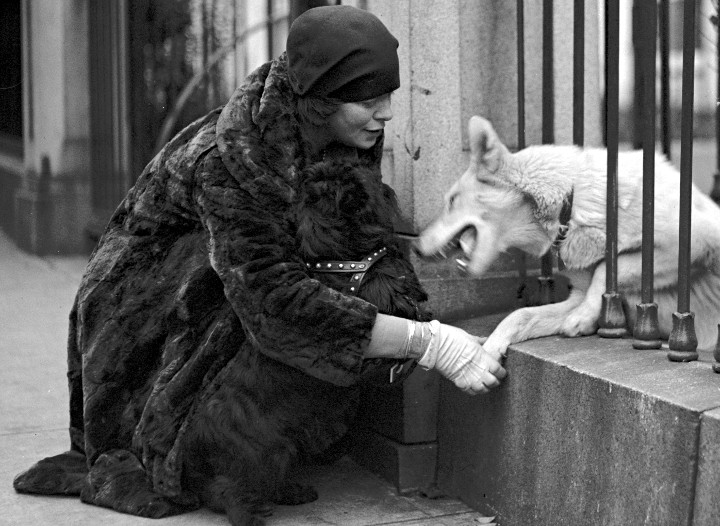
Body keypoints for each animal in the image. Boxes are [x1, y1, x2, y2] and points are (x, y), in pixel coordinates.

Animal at [181, 159, 430, 526]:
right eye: (360, 172)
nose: (376, 166)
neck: (341, 258)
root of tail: (194, 446)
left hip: (281, 450)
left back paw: (292, 492)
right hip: (261, 455)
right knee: (227, 491)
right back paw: (250, 513)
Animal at [414, 115, 720, 357]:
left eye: (452, 200)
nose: (414, 247)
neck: (571, 208)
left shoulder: (694, 243)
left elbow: (609, 268)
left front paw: (582, 318)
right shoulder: (576, 296)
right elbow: (520, 315)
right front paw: (486, 354)